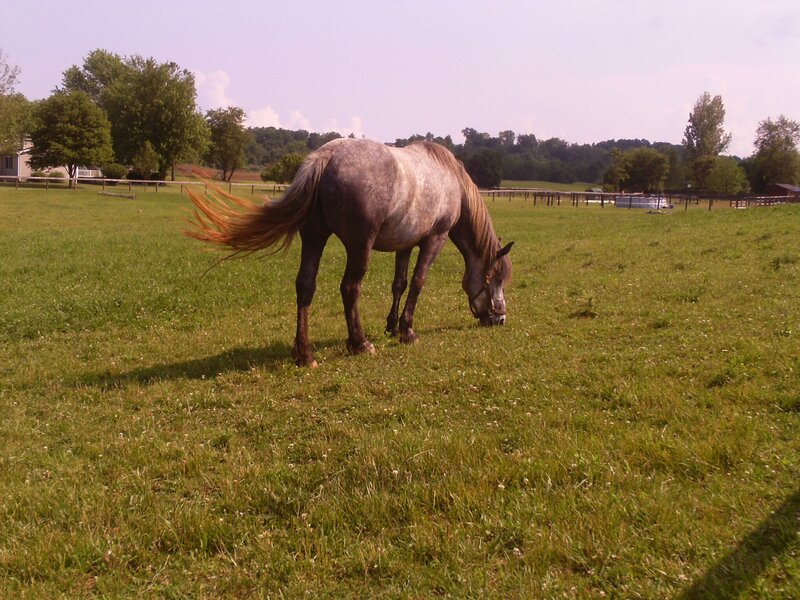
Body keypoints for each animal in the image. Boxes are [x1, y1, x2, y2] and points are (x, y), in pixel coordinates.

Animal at [184, 138, 513, 367]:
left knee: (305, 286)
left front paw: (391, 326)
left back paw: (305, 354)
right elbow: (418, 284)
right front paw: (407, 331)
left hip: (314, 239)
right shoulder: (434, 239)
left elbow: (399, 284)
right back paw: (359, 343)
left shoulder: (406, 244)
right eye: (495, 279)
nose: (500, 319)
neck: (448, 179)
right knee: (350, 288)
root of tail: (326, 156)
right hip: (359, 247)